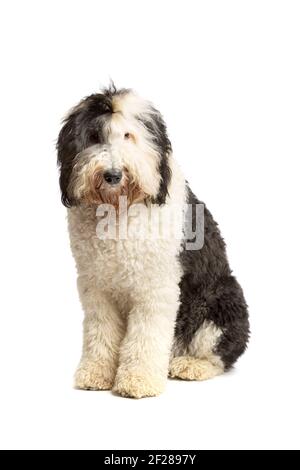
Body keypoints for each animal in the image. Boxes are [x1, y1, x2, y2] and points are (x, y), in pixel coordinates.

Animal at [57, 83, 250, 396]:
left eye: (129, 135)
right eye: (94, 137)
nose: (113, 175)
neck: (118, 211)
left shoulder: (154, 288)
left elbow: (146, 336)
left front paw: (138, 380)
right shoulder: (96, 287)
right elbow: (100, 332)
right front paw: (96, 373)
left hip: (220, 304)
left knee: (220, 355)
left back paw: (191, 365)